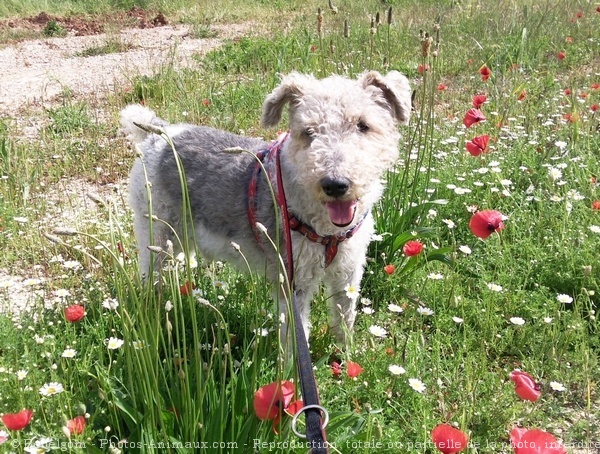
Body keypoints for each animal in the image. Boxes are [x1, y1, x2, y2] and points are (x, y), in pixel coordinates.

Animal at [122, 71, 412, 348]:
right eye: (308, 132)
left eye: (363, 125)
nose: (335, 184)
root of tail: (158, 132)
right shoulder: (293, 281)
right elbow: (295, 338)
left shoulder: (348, 272)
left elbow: (344, 319)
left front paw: (346, 356)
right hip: (157, 236)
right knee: (151, 282)